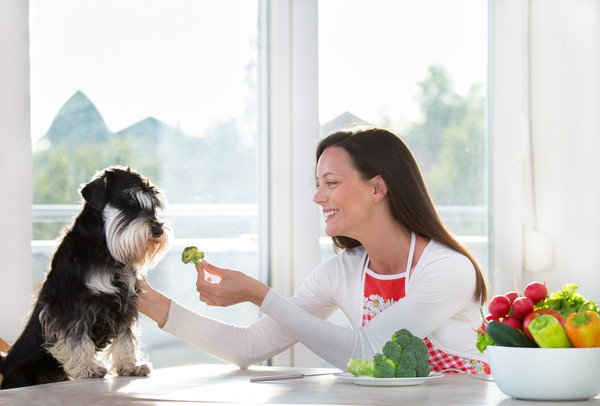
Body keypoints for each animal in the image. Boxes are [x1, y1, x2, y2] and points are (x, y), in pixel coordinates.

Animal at [0, 166, 171, 390]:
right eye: (129, 203)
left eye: (153, 207)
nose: (158, 230)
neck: (102, 247)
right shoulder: (73, 303)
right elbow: (76, 337)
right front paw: (87, 368)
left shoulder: (126, 302)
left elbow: (127, 337)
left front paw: (130, 365)